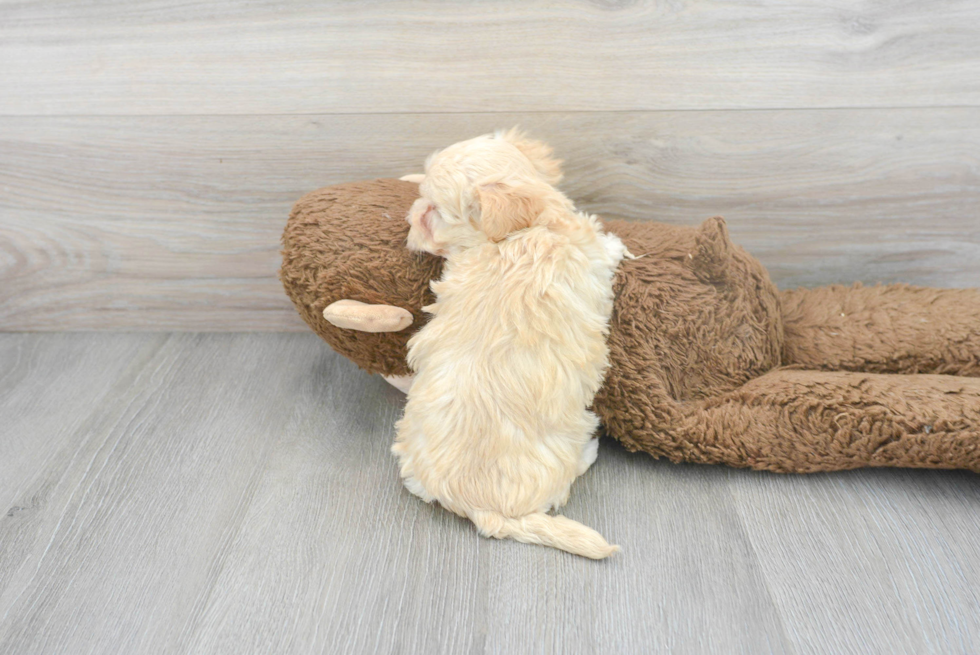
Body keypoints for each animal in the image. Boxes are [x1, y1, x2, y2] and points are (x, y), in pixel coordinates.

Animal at [392, 131, 628, 560]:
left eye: (433, 210)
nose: (410, 217)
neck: (518, 233)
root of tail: (478, 508)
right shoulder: (586, 255)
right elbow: (603, 249)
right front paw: (616, 242)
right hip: (568, 439)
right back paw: (590, 452)